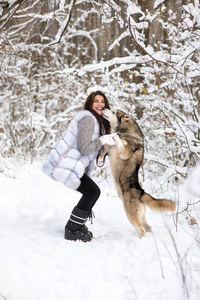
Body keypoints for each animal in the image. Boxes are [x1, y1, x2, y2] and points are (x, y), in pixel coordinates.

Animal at [102, 109, 176, 238]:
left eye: (114, 112)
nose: (103, 109)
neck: (127, 134)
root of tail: (141, 193)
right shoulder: (110, 150)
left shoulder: (125, 152)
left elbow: (118, 139)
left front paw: (113, 136)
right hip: (140, 216)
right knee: (148, 227)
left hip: (130, 215)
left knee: (142, 230)